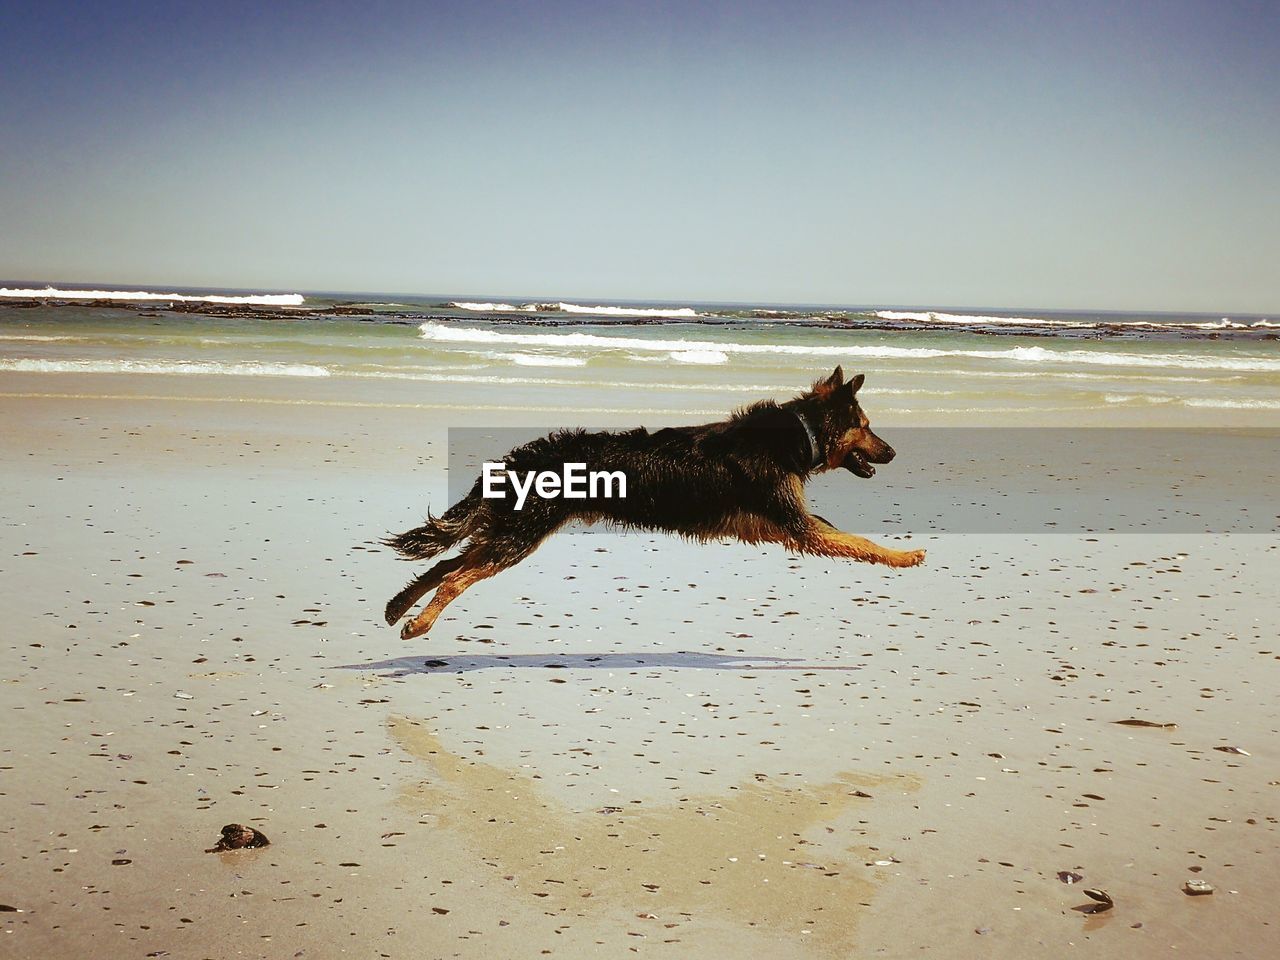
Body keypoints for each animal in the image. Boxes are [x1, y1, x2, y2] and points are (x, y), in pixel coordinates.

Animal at [378, 368, 921, 640]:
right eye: (867, 426)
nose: (896, 453)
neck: (797, 432)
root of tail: (523, 455)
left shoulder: (774, 523)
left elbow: (844, 534)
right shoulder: (795, 524)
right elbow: (858, 542)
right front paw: (904, 556)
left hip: (509, 528)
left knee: (444, 565)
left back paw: (396, 607)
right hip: (521, 535)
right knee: (454, 577)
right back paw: (419, 623)